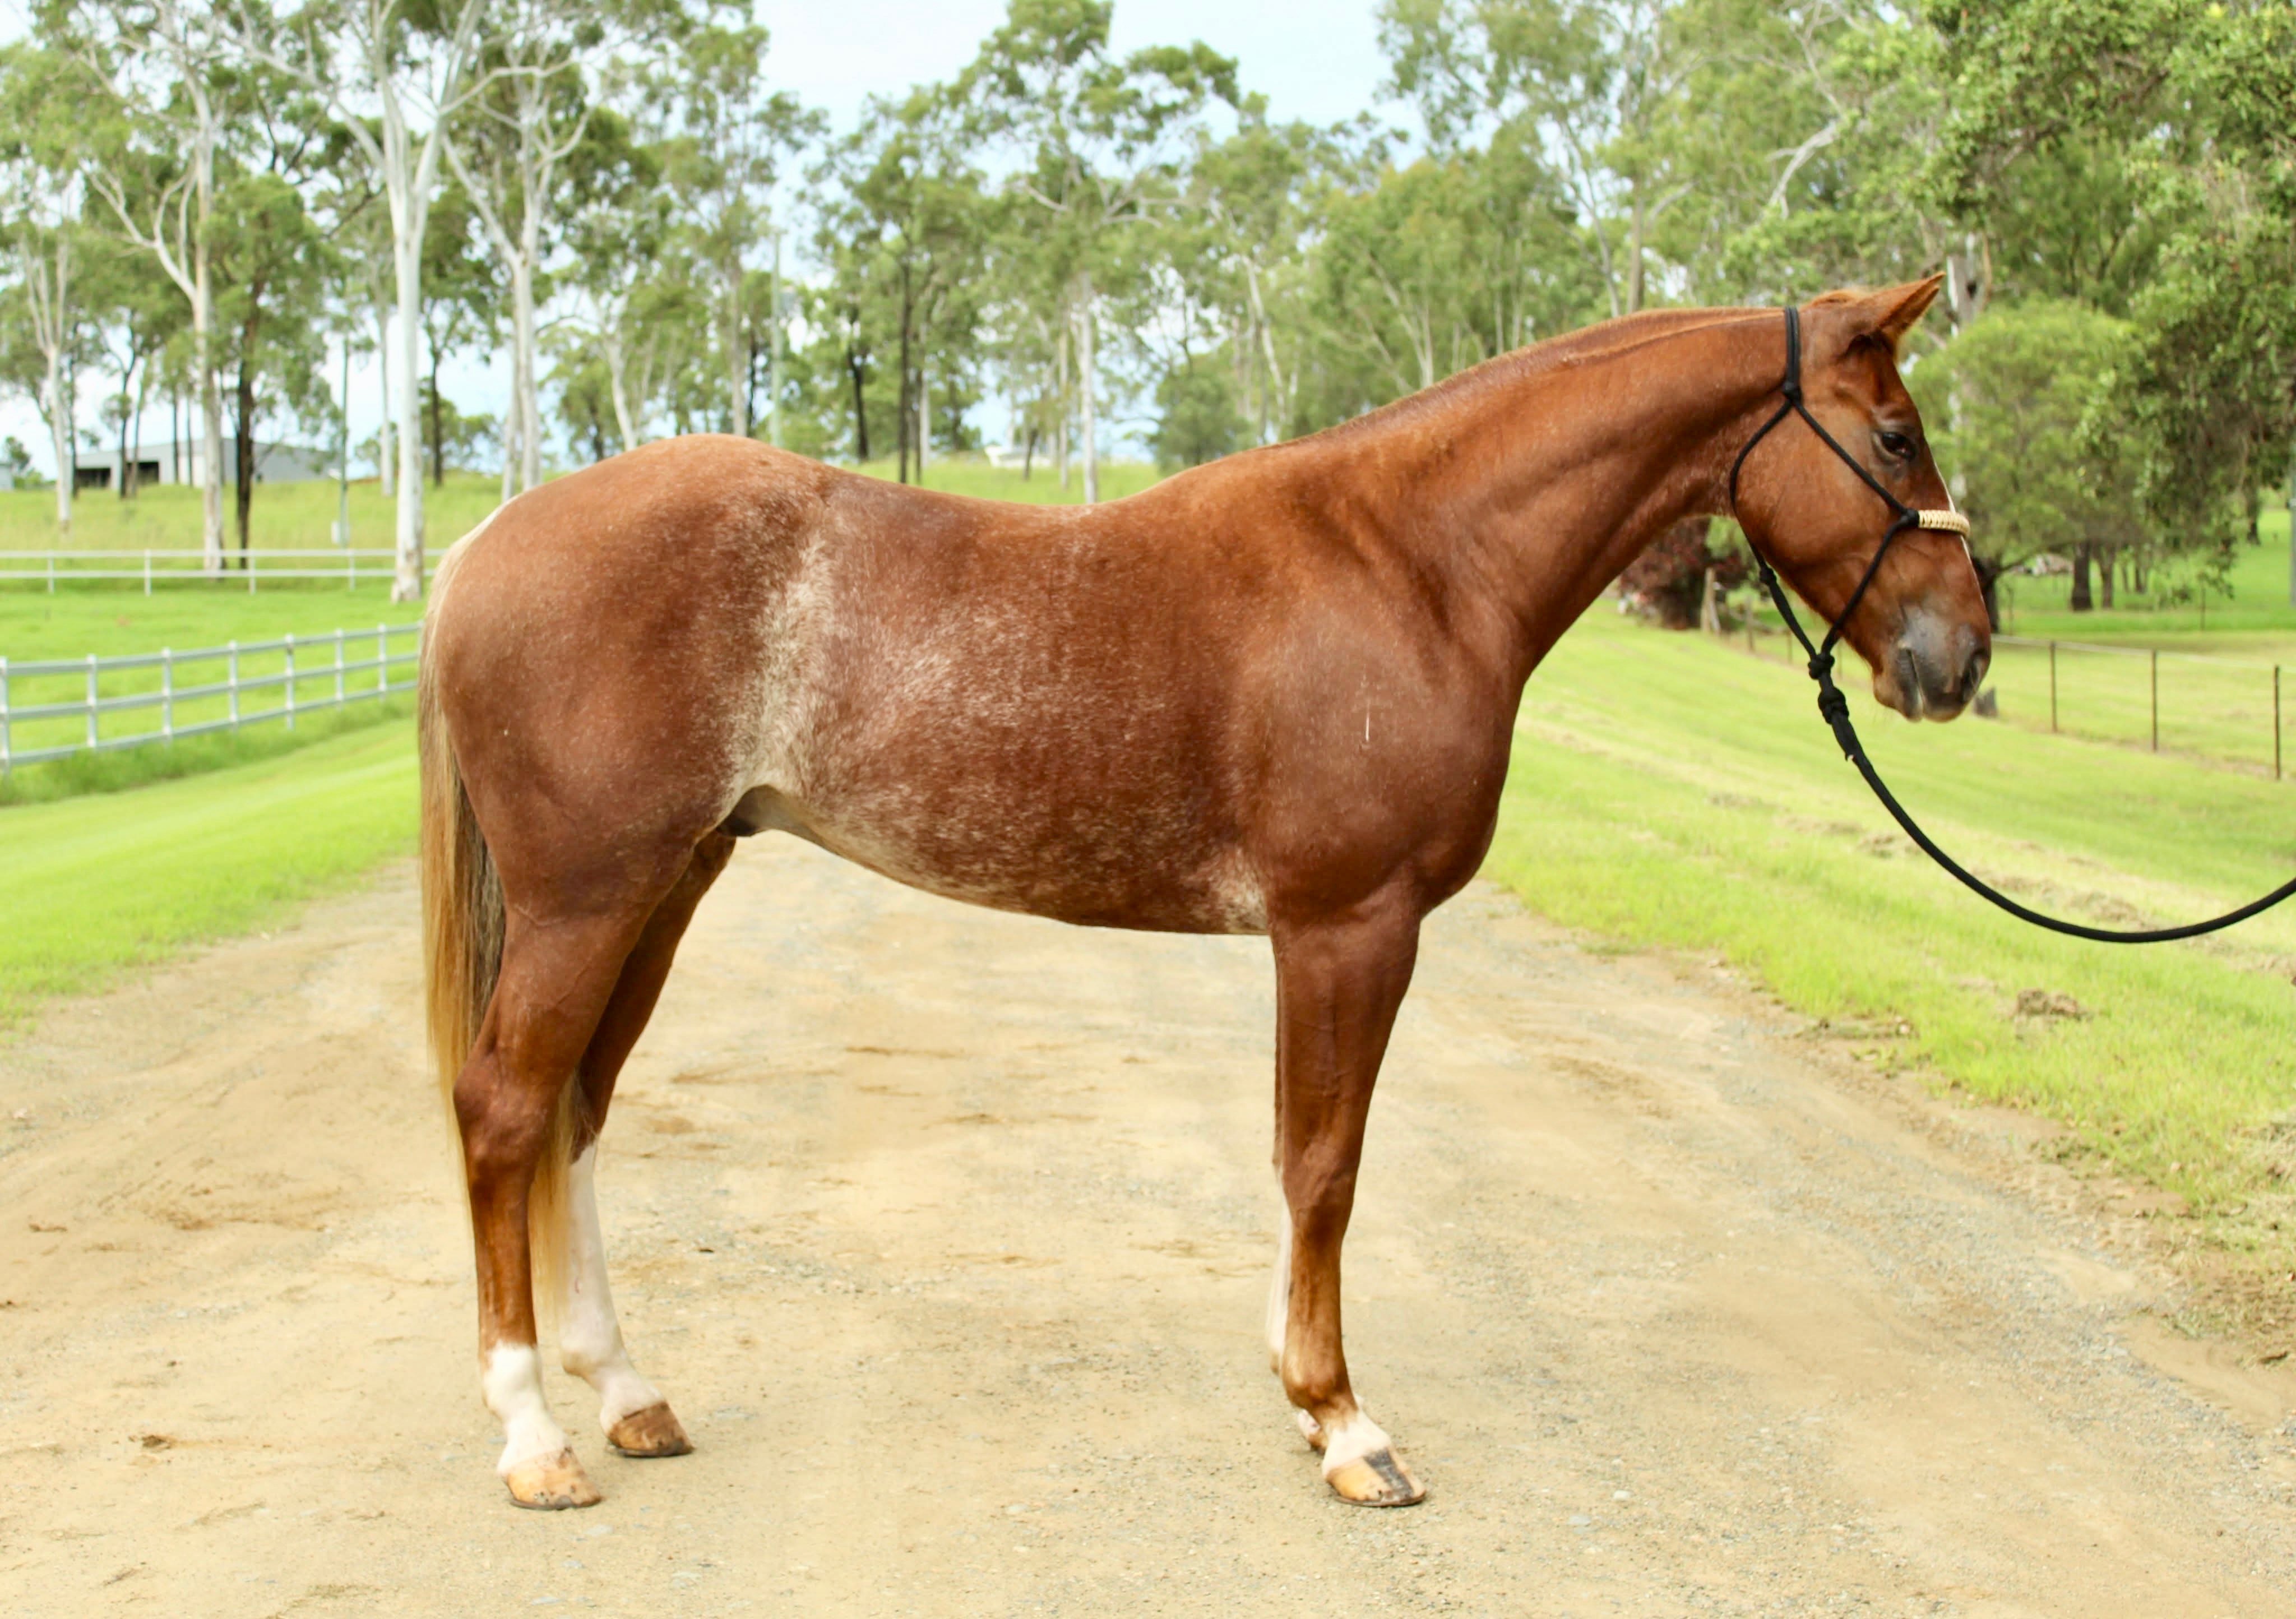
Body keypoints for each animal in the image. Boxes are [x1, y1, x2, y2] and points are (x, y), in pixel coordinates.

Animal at [418, 277, 1988, 1512]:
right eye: (1893, 434)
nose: (1962, 656)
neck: (1415, 562)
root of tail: (482, 549)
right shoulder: (1347, 928)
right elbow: (1324, 1167)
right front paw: (1344, 1422)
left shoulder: (1331, 937)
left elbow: (1305, 1161)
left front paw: (1306, 1396)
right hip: (588, 899)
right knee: (505, 1109)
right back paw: (533, 1437)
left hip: (667, 883)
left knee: (575, 1111)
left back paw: (628, 1392)